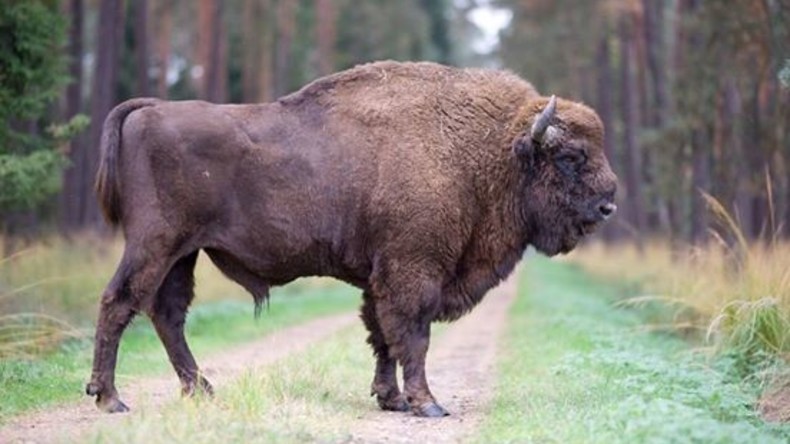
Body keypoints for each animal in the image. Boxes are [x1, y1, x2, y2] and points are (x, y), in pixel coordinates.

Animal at [86, 61, 617, 417]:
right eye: (570, 156)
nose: (608, 205)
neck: (486, 150)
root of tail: (150, 109)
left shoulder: (379, 277)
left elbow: (382, 336)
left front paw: (392, 399)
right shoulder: (413, 270)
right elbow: (412, 336)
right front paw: (427, 404)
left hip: (183, 254)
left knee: (167, 314)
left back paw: (202, 391)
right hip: (154, 244)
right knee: (119, 303)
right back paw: (110, 399)